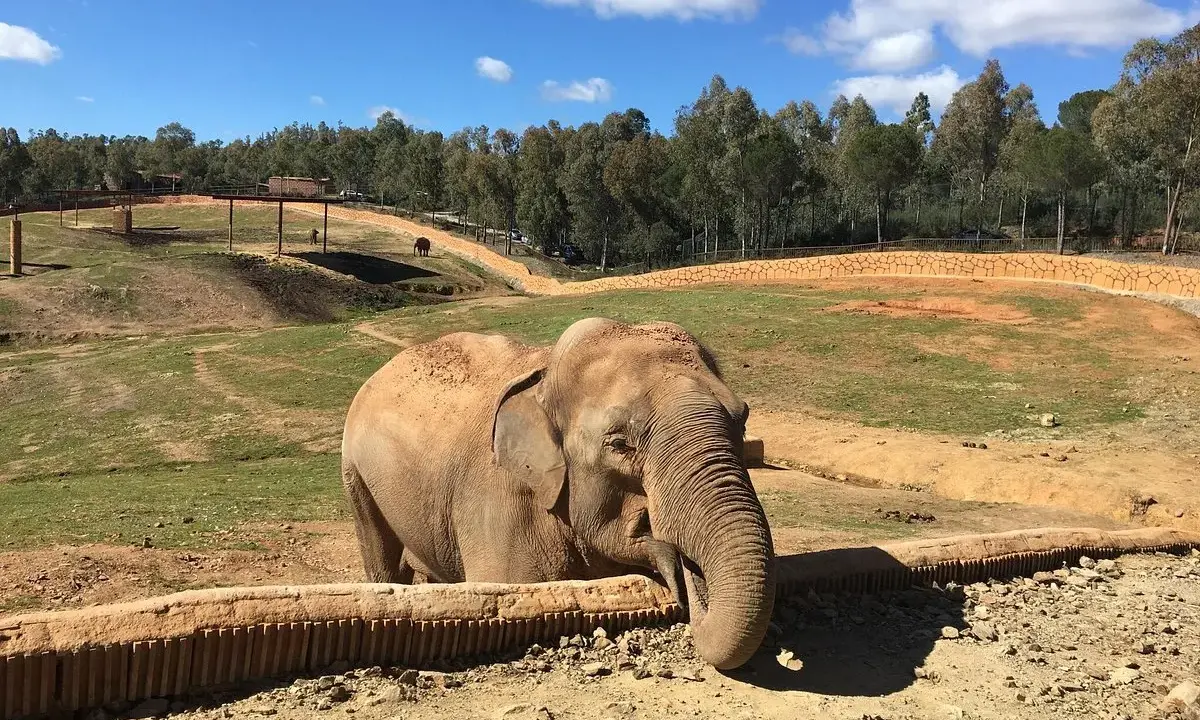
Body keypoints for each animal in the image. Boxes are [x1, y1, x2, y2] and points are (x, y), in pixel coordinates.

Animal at [340, 317, 776, 669]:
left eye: (742, 420)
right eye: (620, 444)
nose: (689, 577)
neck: (544, 375)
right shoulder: (500, 502)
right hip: (355, 472)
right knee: (381, 553)